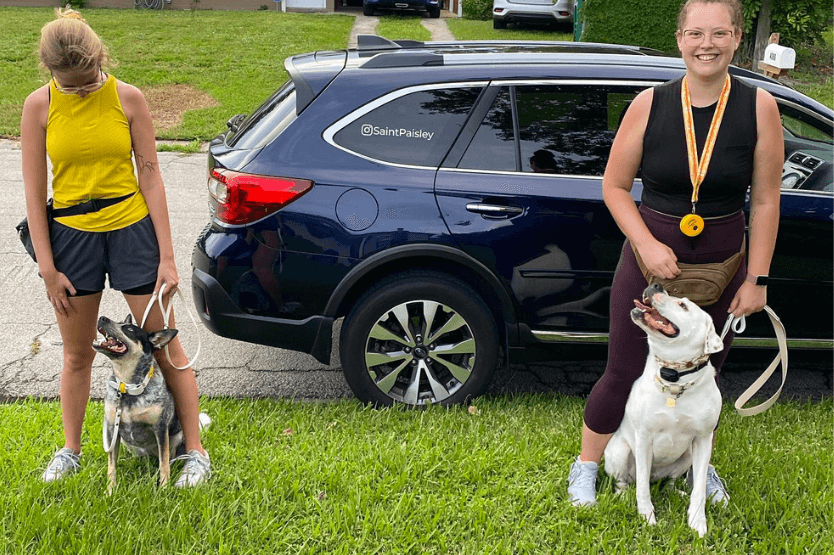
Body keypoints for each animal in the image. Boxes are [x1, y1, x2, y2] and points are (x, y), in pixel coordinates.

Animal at [600, 284, 724, 536]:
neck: (675, 378)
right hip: (620, 451)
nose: (656, 285)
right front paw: (646, 516)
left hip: (687, 455)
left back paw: (675, 492)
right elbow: (642, 489)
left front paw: (697, 521)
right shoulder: (643, 438)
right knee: (626, 481)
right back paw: (623, 495)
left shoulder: (703, 440)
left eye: (683, 305)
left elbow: (699, 489)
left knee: (670, 481)